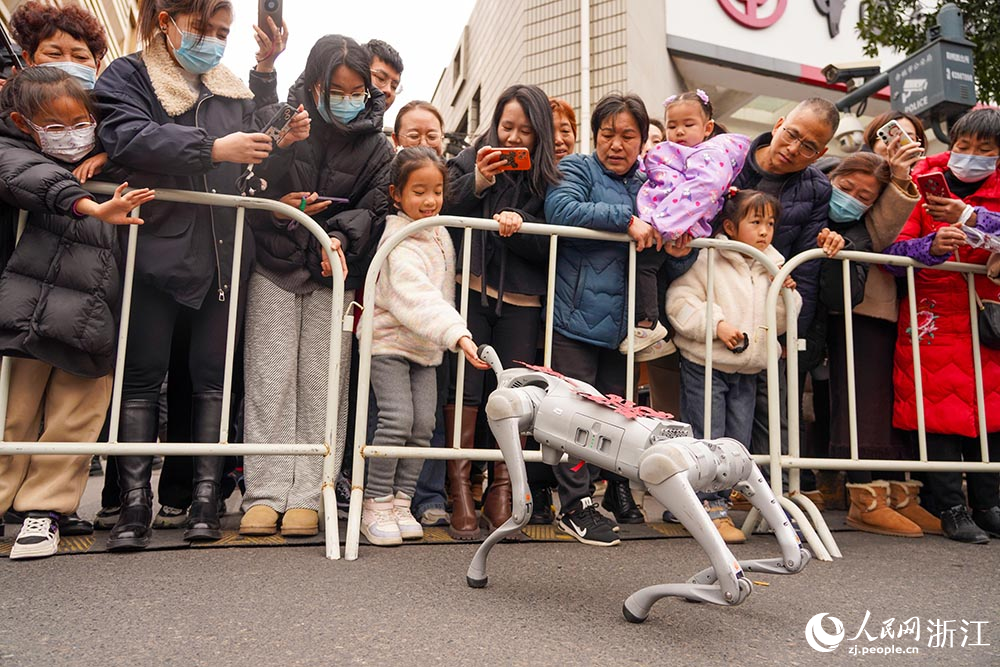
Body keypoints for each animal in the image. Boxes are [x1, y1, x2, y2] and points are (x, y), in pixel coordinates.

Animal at [470, 348, 812, 624]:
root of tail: (711, 458)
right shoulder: (509, 411)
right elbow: (521, 510)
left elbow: (520, 510)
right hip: (712, 465)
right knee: (784, 559)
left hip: (680, 467)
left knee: (761, 568)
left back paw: (653, 599)